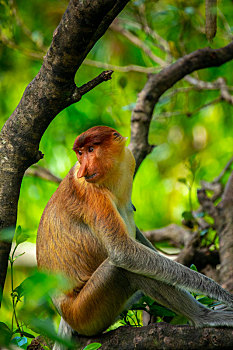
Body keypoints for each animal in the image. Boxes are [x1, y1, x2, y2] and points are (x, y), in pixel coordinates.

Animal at [36, 125, 233, 342]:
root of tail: (63, 311)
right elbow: (123, 251)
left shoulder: (127, 159)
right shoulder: (90, 193)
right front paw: (220, 293)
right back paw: (203, 317)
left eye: (90, 150)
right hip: (84, 313)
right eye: (79, 153)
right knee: (122, 269)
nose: (83, 170)